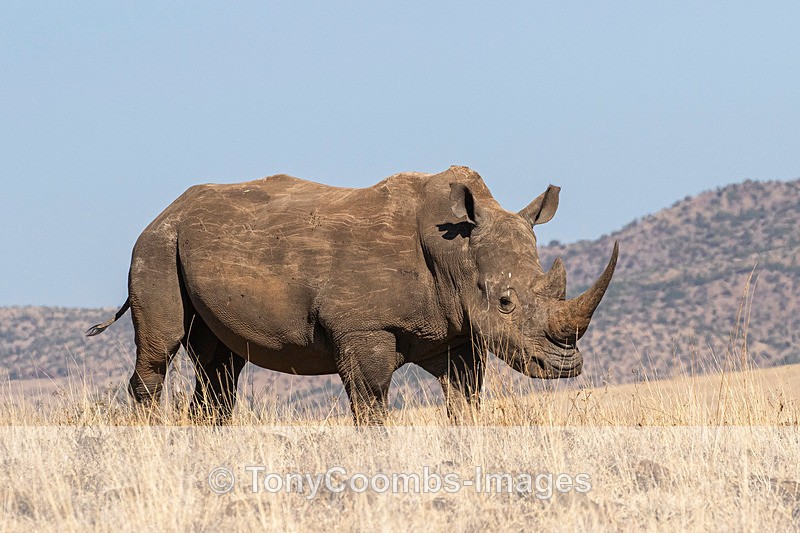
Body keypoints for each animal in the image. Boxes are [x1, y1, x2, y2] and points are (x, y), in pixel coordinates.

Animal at [88, 165, 617, 424]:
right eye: (505, 303)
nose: (565, 367)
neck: (457, 253)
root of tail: (164, 211)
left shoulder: (456, 331)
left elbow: (464, 398)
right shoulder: (363, 328)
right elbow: (371, 402)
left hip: (188, 244)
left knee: (221, 364)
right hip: (156, 246)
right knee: (160, 349)